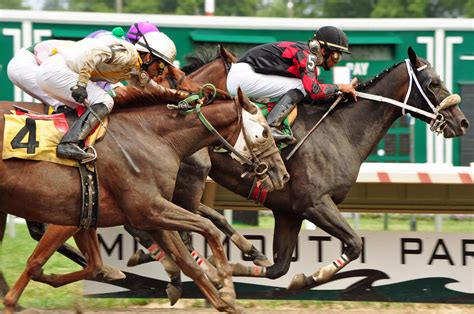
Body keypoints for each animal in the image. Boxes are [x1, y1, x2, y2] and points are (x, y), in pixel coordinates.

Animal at [0, 78, 288, 312]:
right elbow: (207, 228)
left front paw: (222, 299)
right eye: (264, 132)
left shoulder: (145, 215)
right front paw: (225, 284)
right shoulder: (147, 209)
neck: (152, 137)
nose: (282, 175)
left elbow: (186, 260)